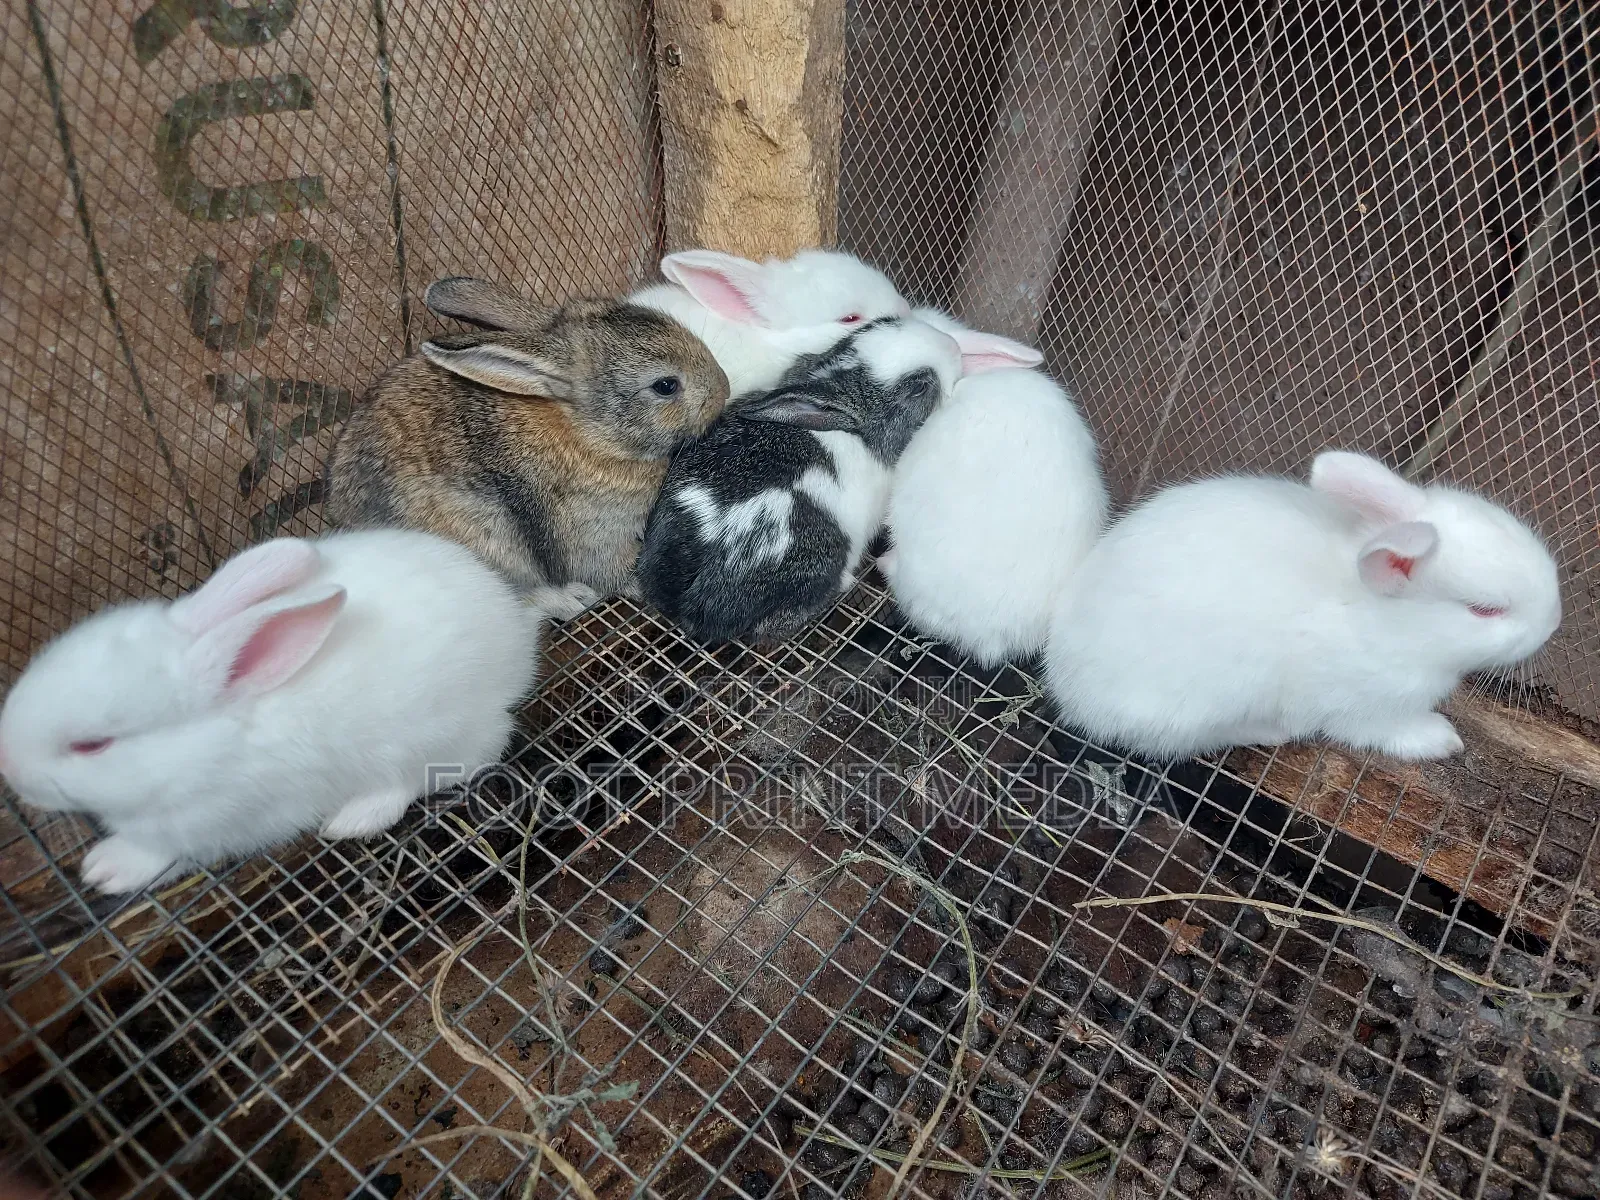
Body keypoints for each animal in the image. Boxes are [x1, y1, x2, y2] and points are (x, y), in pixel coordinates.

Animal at [0, 530, 542, 894]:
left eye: (91, 745)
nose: (10, 768)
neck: (208, 745)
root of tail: (515, 641)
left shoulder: (211, 823)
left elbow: (159, 851)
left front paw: (106, 869)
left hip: (432, 739)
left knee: (421, 778)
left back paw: (352, 819)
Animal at [327, 293, 729, 619]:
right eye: (665, 386)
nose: (723, 387)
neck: (590, 434)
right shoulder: (596, 537)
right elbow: (614, 571)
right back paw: (571, 601)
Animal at [1044, 450, 1562, 762]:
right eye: (1485, 610)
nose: (1554, 622)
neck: (1391, 625)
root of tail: (1067, 688)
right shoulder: (1366, 707)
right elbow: (1391, 730)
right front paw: (1443, 740)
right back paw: (1270, 731)